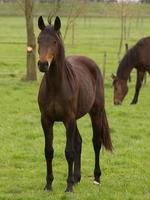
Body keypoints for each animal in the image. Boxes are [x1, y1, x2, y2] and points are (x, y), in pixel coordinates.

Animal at [37, 16, 112, 192]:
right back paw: (77, 177)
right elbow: (49, 151)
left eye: (55, 41)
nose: (43, 64)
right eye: (38, 40)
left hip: (95, 112)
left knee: (96, 142)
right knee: (79, 142)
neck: (56, 86)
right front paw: (48, 185)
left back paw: (96, 178)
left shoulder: (68, 119)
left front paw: (69, 187)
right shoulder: (46, 120)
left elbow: (69, 152)